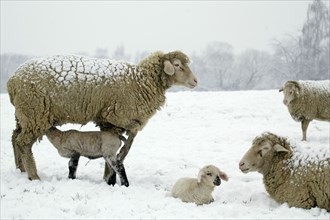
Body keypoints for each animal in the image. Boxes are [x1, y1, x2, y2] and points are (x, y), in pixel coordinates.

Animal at [7, 50, 199, 182]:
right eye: (177, 65)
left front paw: (108, 177)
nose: (196, 81)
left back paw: (20, 170)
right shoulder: (115, 117)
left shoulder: (108, 121)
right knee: (23, 142)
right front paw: (109, 178)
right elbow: (118, 149)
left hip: (23, 115)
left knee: (15, 137)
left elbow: (116, 150)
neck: (140, 82)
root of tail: (12, 81)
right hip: (34, 113)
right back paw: (34, 176)